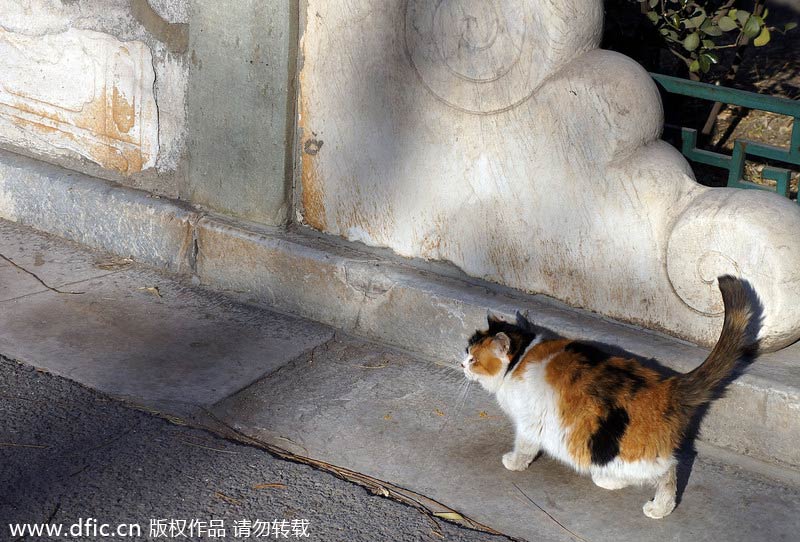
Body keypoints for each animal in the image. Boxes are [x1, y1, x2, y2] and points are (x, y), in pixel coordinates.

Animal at [466, 276, 752, 520]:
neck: (521, 356)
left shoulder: (529, 422)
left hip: (629, 454)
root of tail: (669, 386)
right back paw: (610, 480)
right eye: (467, 351)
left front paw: (514, 463)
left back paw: (658, 508)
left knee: (668, 472)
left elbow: (524, 446)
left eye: (472, 358)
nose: (461, 364)